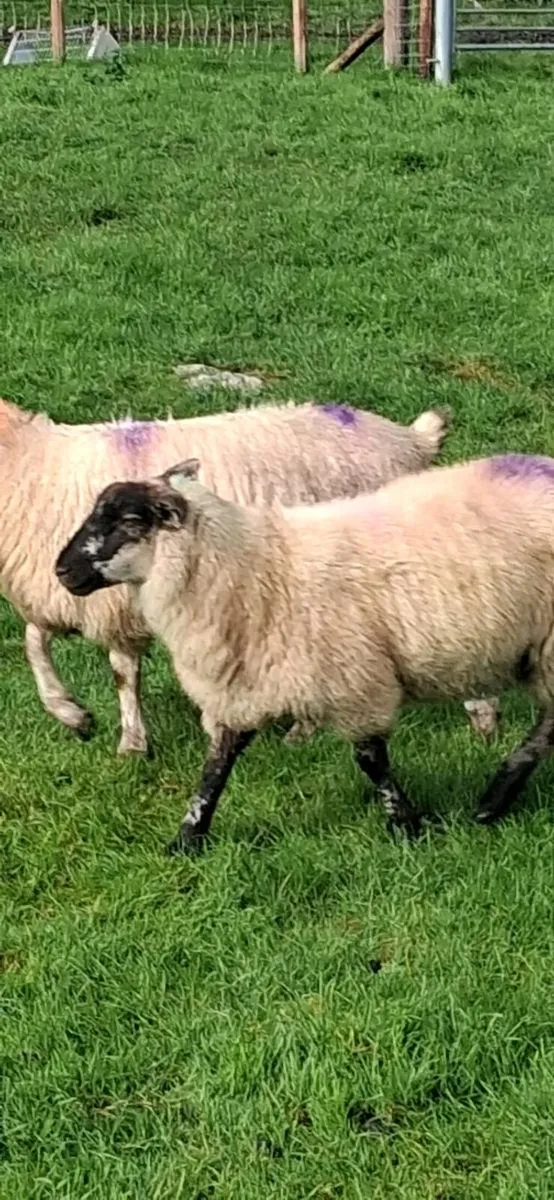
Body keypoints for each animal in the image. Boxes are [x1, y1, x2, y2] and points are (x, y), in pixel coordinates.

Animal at [0, 395, 450, 755]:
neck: (26, 461)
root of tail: (411, 441)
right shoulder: (58, 590)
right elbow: (34, 644)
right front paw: (71, 713)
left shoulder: (114, 600)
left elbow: (123, 674)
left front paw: (132, 744)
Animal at [55, 451, 554, 854]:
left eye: (130, 523)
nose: (61, 570)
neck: (254, 569)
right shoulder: (242, 684)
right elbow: (216, 765)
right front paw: (187, 838)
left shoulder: (357, 680)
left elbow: (371, 761)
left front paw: (406, 826)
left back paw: (494, 799)